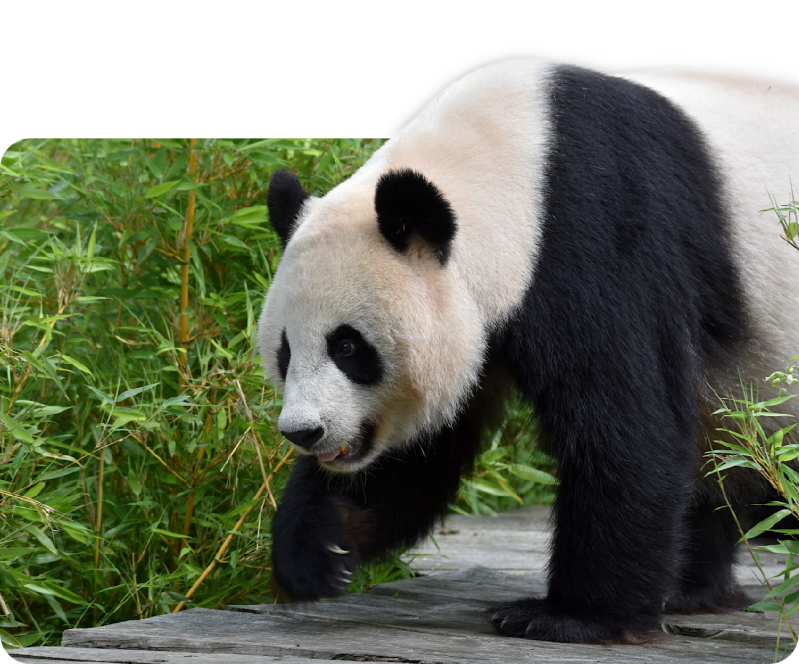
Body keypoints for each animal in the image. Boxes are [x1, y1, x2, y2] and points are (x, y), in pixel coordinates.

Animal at [257, 59, 799, 644]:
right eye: (285, 352)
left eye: (348, 346)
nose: (304, 432)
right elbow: (419, 452)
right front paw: (319, 547)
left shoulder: (596, 235)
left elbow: (627, 429)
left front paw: (569, 616)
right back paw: (689, 590)